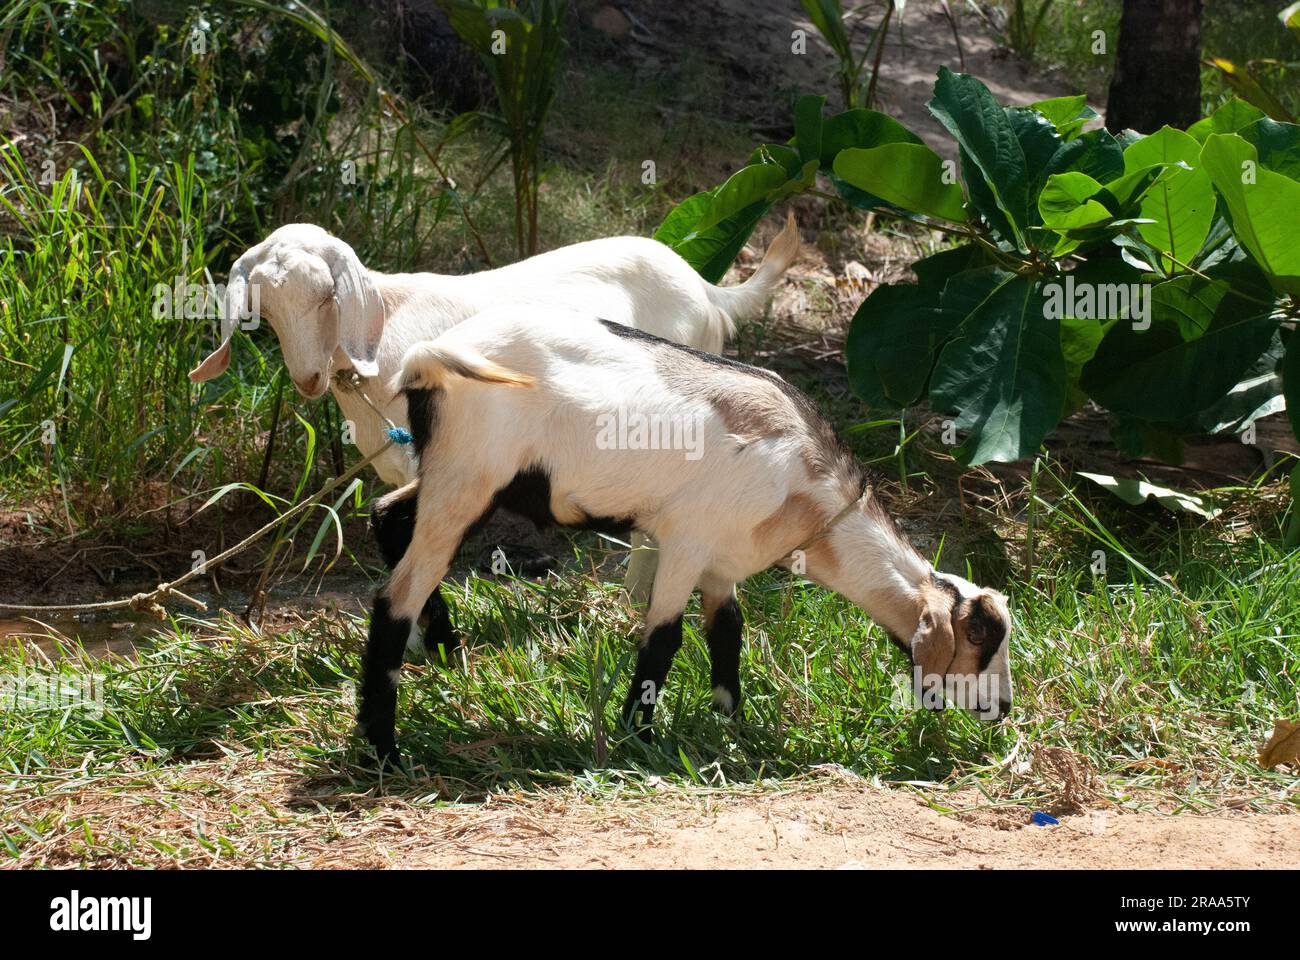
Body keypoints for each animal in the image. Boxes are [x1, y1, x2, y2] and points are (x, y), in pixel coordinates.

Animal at [358, 306, 1013, 764]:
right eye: (979, 639)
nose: (1004, 709)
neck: (809, 487)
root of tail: (428, 356)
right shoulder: (685, 541)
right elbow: (664, 639)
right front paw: (638, 739)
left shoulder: (723, 562)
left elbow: (727, 631)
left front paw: (732, 723)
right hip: (467, 480)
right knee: (394, 597)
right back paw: (385, 751)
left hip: (458, 480)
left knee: (389, 515)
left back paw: (446, 652)